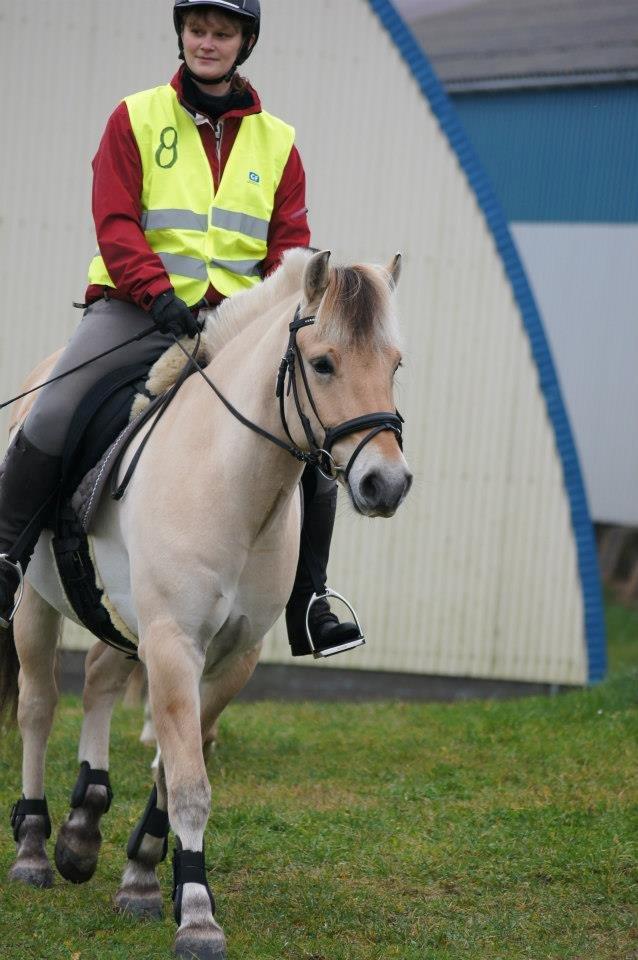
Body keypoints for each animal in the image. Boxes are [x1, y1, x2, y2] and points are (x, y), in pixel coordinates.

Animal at [0, 249, 416, 960]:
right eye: (323, 363)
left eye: (394, 364)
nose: (385, 484)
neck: (227, 481)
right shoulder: (174, 645)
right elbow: (190, 782)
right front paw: (195, 913)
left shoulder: (229, 656)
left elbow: (173, 768)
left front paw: (142, 875)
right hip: (35, 606)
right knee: (38, 707)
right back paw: (32, 846)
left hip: (125, 623)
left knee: (100, 681)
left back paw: (84, 824)